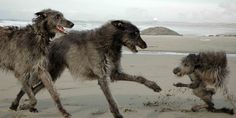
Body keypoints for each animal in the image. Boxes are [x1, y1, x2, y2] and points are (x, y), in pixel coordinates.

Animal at [12, 19, 161, 117]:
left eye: (138, 32)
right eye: (134, 33)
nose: (145, 45)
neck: (108, 42)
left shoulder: (114, 74)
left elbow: (139, 78)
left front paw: (154, 86)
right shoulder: (101, 77)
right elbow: (111, 100)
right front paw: (117, 114)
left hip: (51, 75)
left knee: (34, 88)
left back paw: (29, 107)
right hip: (44, 71)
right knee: (26, 86)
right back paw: (16, 104)